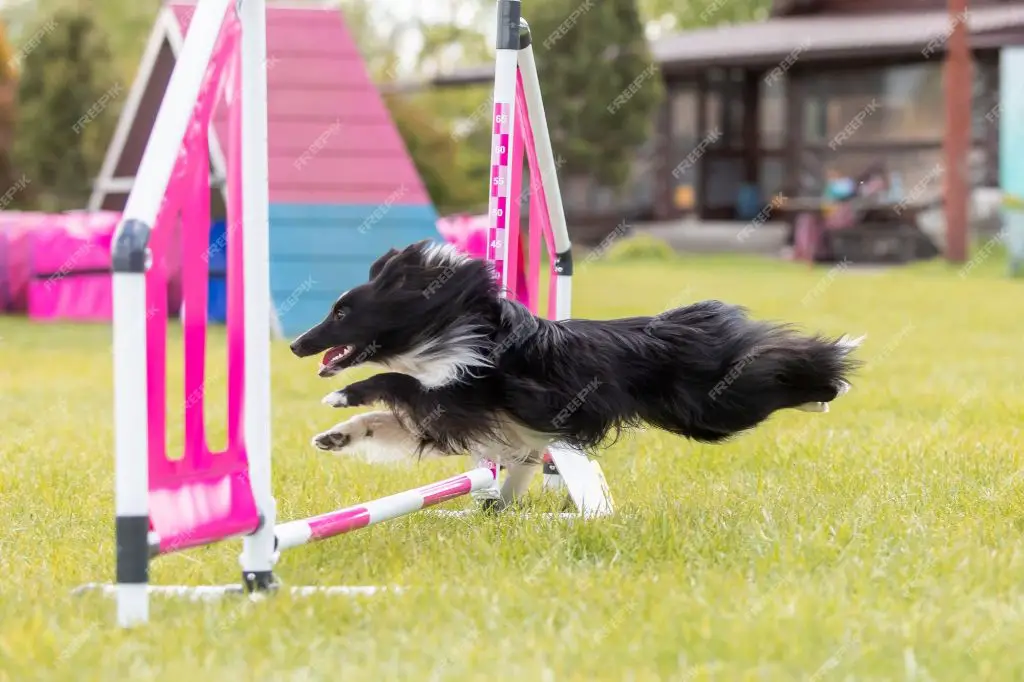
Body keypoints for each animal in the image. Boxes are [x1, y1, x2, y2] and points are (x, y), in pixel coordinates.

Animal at [290, 238, 864, 493]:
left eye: (341, 312)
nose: (296, 345)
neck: (447, 322)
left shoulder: (463, 395)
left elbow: (392, 379)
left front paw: (340, 397)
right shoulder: (461, 418)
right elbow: (386, 418)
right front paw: (335, 436)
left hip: (711, 409)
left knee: (778, 368)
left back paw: (829, 384)